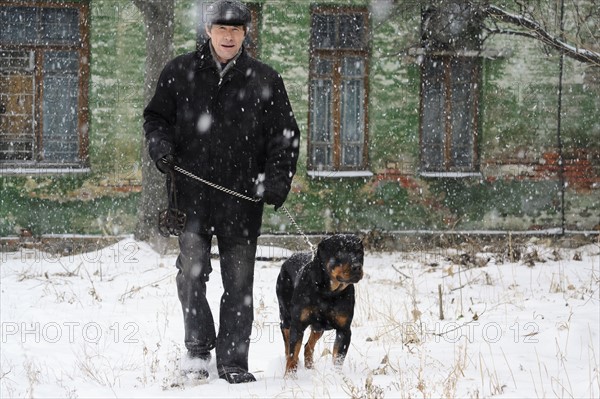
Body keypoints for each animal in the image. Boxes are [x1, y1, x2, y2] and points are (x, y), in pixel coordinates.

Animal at [274, 234, 364, 376]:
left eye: (359, 252)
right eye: (339, 252)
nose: (357, 266)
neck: (328, 292)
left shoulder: (344, 329)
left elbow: (338, 358)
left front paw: (337, 377)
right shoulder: (298, 325)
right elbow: (293, 354)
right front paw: (289, 377)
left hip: (319, 326)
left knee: (308, 346)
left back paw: (310, 368)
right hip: (286, 316)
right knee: (287, 344)